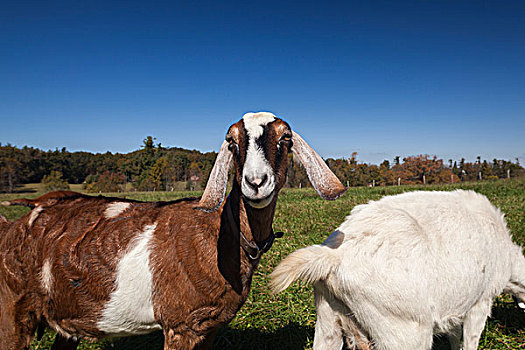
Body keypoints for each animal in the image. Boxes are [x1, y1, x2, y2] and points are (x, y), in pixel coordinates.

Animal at [0, 113, 346, 350]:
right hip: (13, 308)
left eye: (285, 138)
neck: (219, 233)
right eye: (232, 141)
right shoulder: (181, 325)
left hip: (65, 317)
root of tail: (16, 223)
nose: (256, 182)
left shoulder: (207, 328)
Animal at [270, 190, 524, 350]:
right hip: (403, 330)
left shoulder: (454, 306)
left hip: (328, 320)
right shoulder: (480, 301)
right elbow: (470, 340)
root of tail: (334, 256)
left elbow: (454, 336)